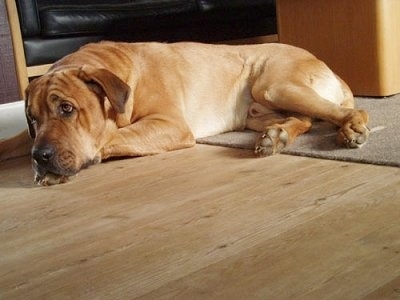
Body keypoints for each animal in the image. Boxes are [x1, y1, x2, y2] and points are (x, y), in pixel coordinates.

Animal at [0, 40, 368, 184]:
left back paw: (352, 127)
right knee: (305, 119)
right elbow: (9, 142)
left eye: (67, 108)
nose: (40, 156)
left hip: (274, 85)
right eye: (32, 119)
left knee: (343, 111)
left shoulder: (170, 124)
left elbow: (111, 136)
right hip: (258, 110)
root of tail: (326, 65)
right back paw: (275, 137)